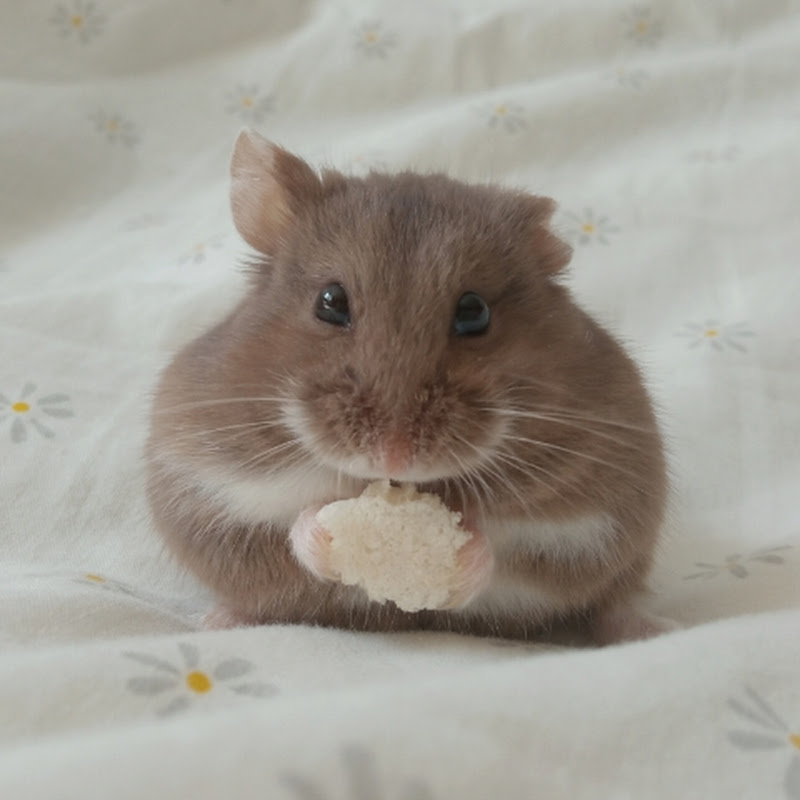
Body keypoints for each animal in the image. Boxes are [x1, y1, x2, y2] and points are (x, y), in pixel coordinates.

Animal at [145, 129, 674, 645]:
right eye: (330, 302)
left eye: (475, 312)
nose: (394, 456)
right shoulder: (208, 489)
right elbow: (289, 529)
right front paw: (324, 536)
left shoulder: (591, 522)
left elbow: (507, 554)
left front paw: (463, 554)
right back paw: (218, 621)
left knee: (614, 600)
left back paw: (654, 629)